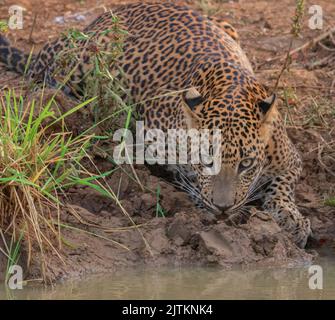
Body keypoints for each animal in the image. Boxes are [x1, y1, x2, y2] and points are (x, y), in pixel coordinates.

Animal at [0, 1, 312, 246]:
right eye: (207, 160)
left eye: (246, 164)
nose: (223, 209)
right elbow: (190, 178)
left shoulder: (291, 160)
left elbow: (281, 187)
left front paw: (292, 218)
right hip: (81, 61)